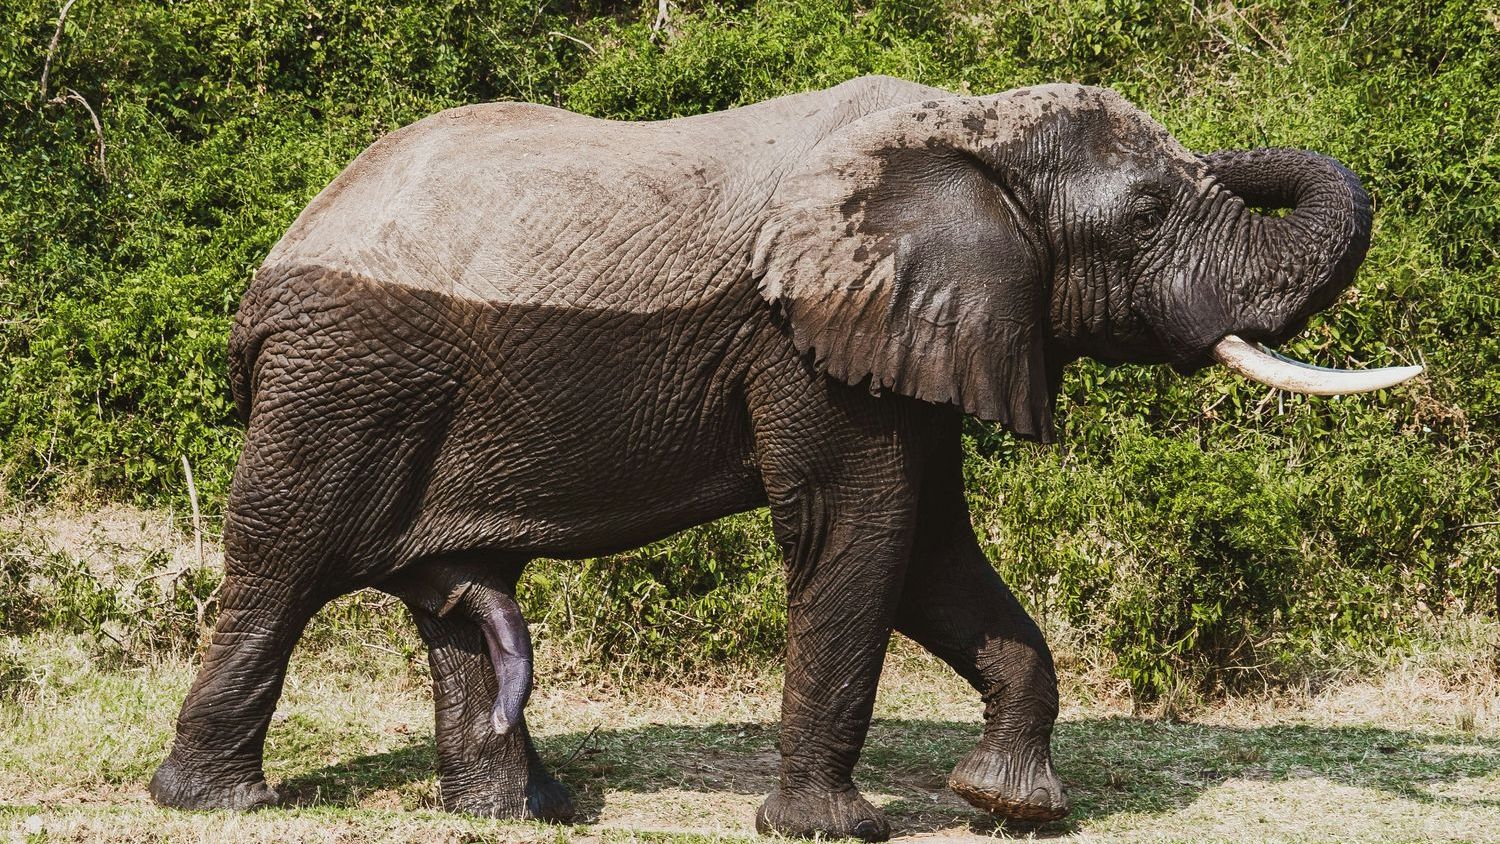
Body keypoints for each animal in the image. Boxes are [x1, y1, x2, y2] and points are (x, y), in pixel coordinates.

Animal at [148, 75, 1420, 839]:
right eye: (1149, 212)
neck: (965, 128)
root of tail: (268, 275)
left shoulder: (903, 325)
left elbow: (934, 550)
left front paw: (1006, 805)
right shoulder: (807, 335)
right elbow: (863, 530)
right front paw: (832, 827)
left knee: (464, 597)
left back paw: (518, 812)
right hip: (346, 377)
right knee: (283, 565)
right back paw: (218, 801)